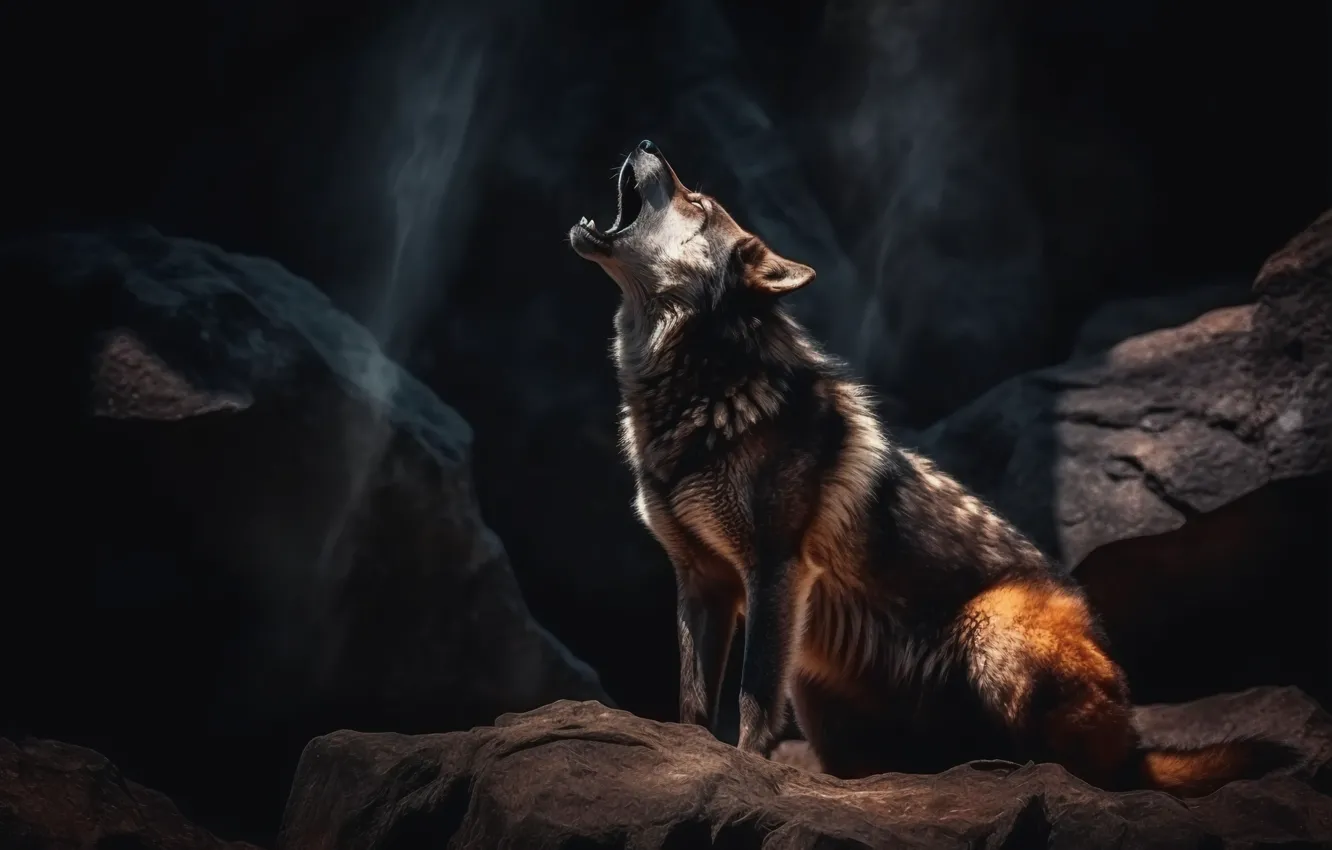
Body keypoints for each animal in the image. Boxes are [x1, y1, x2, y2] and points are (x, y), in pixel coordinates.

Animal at [568, 139, 1297, 795]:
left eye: (696, 200)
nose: (645, 140)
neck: (698, 393)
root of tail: (1136, 739)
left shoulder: (773, 569)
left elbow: (751, 701)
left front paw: (745, 768)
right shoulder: (701, 579)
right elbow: (693, 701)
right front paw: (688, 755)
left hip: (990, 629)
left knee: (1104, 774)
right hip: (819, 682)